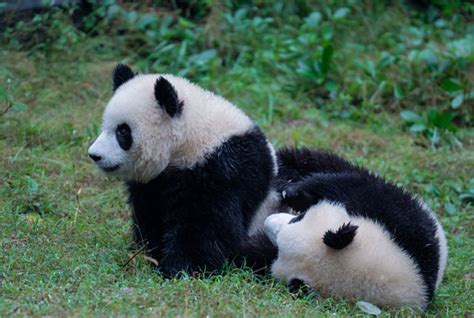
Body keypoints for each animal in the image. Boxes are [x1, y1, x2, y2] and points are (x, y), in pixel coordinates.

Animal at [87, 64, 278, 276]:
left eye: (122, 132)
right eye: (105, 126)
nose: (94, 155)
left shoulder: (221, 169)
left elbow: (204, 224)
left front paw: (181, 268)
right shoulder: (155, 182)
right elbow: (149, 212)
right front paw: (149, 252)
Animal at [262, 148, 446, 310]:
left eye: (277, 252)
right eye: (298, 218)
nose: (268, 221)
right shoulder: (401, 227)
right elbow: (341, 186)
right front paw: (293, 192)